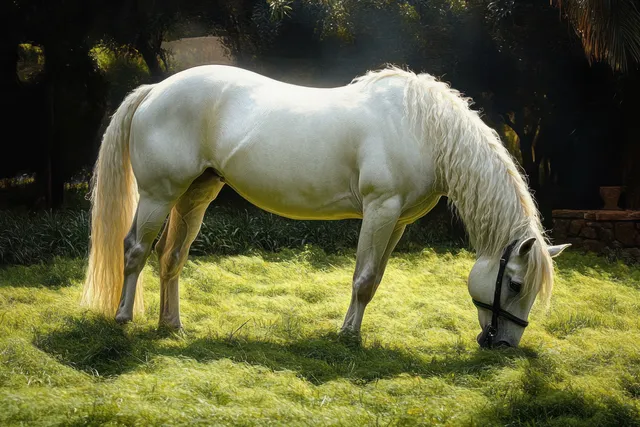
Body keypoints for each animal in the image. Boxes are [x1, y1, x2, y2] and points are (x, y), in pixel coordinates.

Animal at [81, 65, 569, 348]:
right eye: (514, 284)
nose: (504, 345)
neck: (423, 129)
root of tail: (155, 90)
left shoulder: (397, 223)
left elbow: (375, 280)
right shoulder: (380, 210)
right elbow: (363, 279)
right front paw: (348, 336)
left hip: (194, 197)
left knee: (172, 259)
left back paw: (172, 326)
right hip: (159, 195)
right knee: (135, 251)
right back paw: (124, 318)